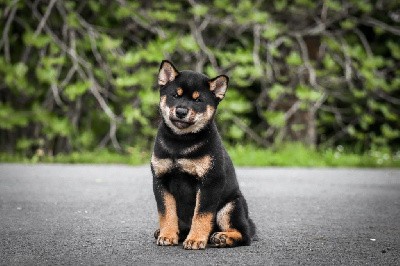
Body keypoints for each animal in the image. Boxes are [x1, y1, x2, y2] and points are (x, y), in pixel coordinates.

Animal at [150, 59, 256, 249]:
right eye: (175, 95)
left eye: (198, 100)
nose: (181, 111)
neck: (180, 142)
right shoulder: (160, 179)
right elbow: (166, 213)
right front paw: (167, 235)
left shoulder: (210, 181)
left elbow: (202, 215)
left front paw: (196, 239)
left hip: (230, 207)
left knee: (244, 235)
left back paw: (222, 237)